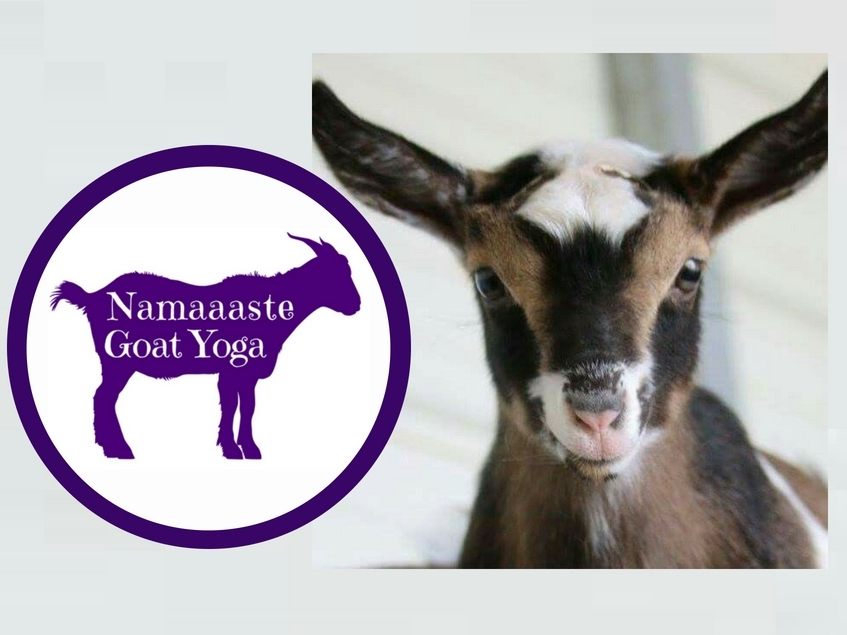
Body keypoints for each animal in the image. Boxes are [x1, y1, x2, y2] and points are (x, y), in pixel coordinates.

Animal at [50, 234, 360, 460]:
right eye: (336, 275)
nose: (356, 304)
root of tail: (93, 296)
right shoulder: (234, 370)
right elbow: (233, 406)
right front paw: (234, 450)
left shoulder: (243, 375)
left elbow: (246, 406)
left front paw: (247, 449)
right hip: (118, 361)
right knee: (104, 397)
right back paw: (120, 450)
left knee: (103, 397)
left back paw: (110, 447)